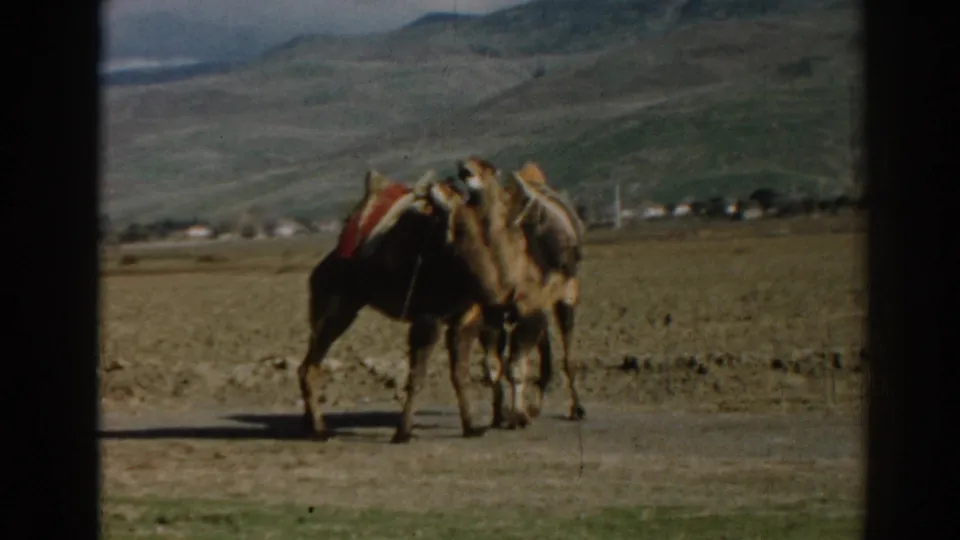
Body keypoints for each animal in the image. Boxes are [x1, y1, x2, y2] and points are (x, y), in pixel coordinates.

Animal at [298, 168, 533, 443]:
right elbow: (417, 376)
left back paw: (310, 425)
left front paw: (471, 427)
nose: (502, 301)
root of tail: (321, 267)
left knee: (308, 365)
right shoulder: (427, 317)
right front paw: (403, 432)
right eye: (458, 231)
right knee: (309, 366)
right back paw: (319, 430)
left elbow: (460, 374)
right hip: (336, 307)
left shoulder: (465, 319)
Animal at [455, 157, 587, 425]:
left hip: (567, 292)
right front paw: (500, 414)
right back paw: (535, 406)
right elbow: (493, 364)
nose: (464, 168)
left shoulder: (527, 306)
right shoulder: (493, 312)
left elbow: (516, 365)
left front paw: (517, 415)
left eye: (488, 167)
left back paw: (576, 408)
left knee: (566, 350)